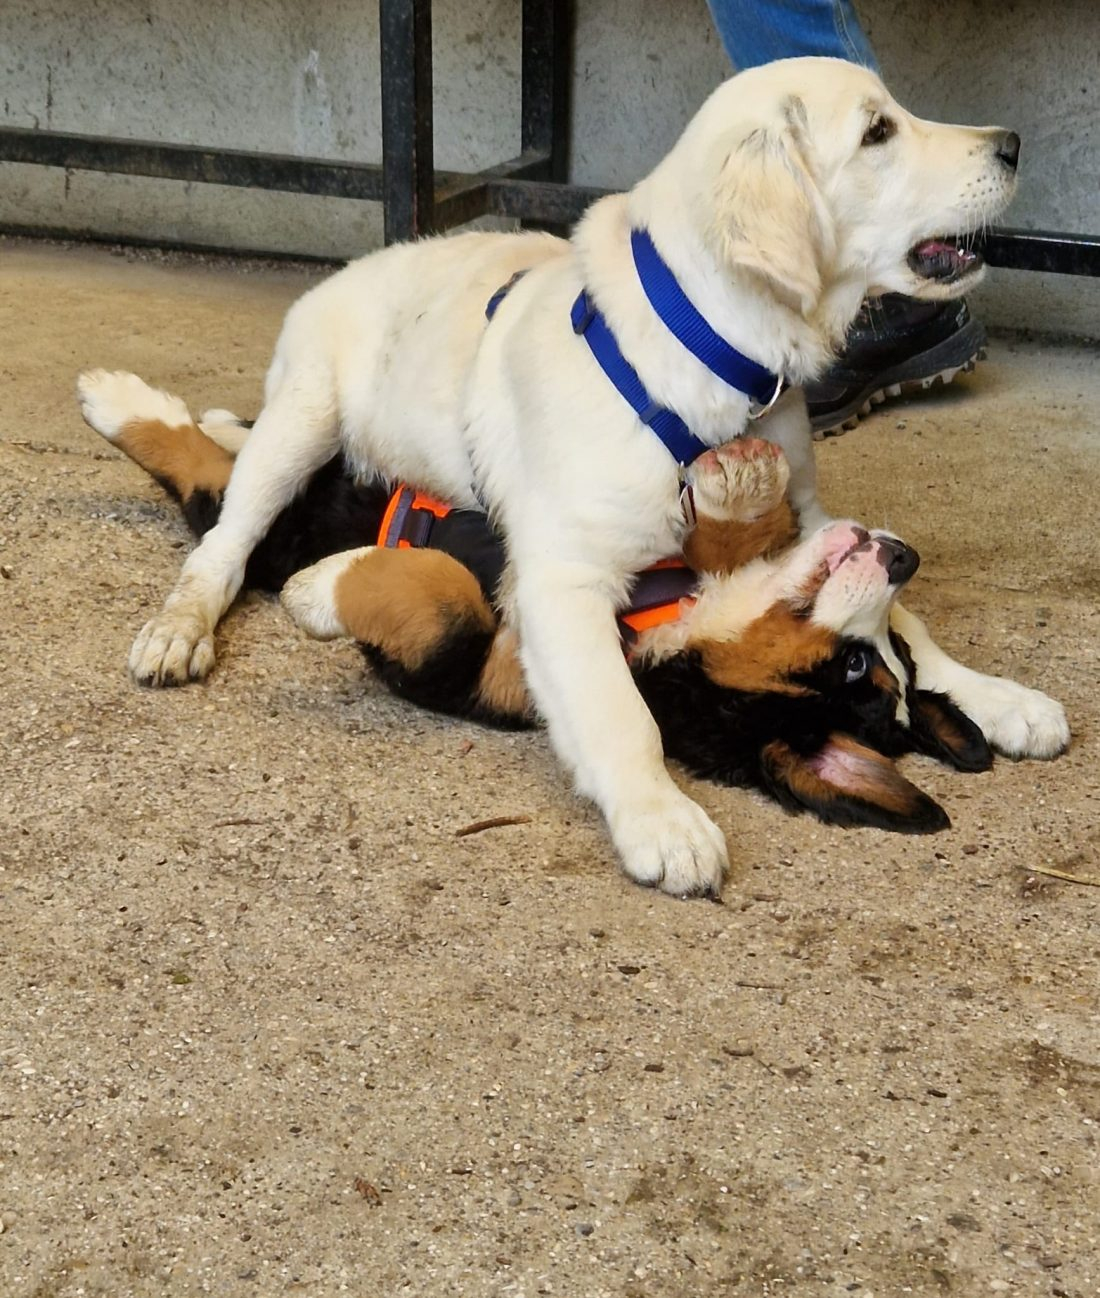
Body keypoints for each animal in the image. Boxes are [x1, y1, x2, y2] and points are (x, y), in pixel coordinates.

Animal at [96, 58, 1064, 893]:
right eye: (876, 131)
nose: (1015, 143)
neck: (705, 361)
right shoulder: (561, 581)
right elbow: (618, 709)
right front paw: (662, 819)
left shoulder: (812, 514)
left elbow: (909, 617)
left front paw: (1000, 699)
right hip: (305, 417)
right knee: (224, 539)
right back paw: (172, 600)